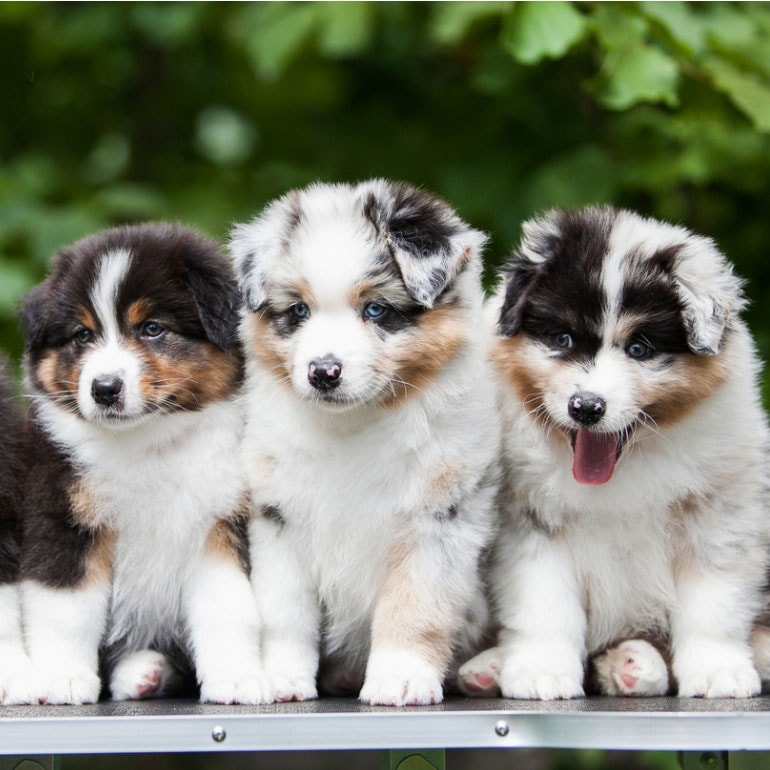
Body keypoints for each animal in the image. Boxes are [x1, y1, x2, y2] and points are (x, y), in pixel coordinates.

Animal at [19, 220, 270, 704]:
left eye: (152, 328)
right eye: (82, 335)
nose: (104, 388)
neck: (148, 443)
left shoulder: (219, 523)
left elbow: (227, 607)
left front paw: (235, 678)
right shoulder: (65, 520)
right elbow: (68, 610)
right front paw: (63, 679)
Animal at [231, 178, 500, 704]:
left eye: (375, 309)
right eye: (299, 310)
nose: (323, 372)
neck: (354, 425)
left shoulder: (436, 517)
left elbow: (414, 604)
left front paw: (401, 677)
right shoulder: (279, 518)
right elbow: (284, 610)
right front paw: (282, 677)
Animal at [456, 207, 768, 700]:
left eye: (639, 348)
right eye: (562, 339)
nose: (586, 407)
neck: (627, 466)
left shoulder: (719, 518)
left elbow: (712, 603)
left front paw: (718, 670)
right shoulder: (531, 524)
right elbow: (545, 603)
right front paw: (542, 671)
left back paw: (635, 664)